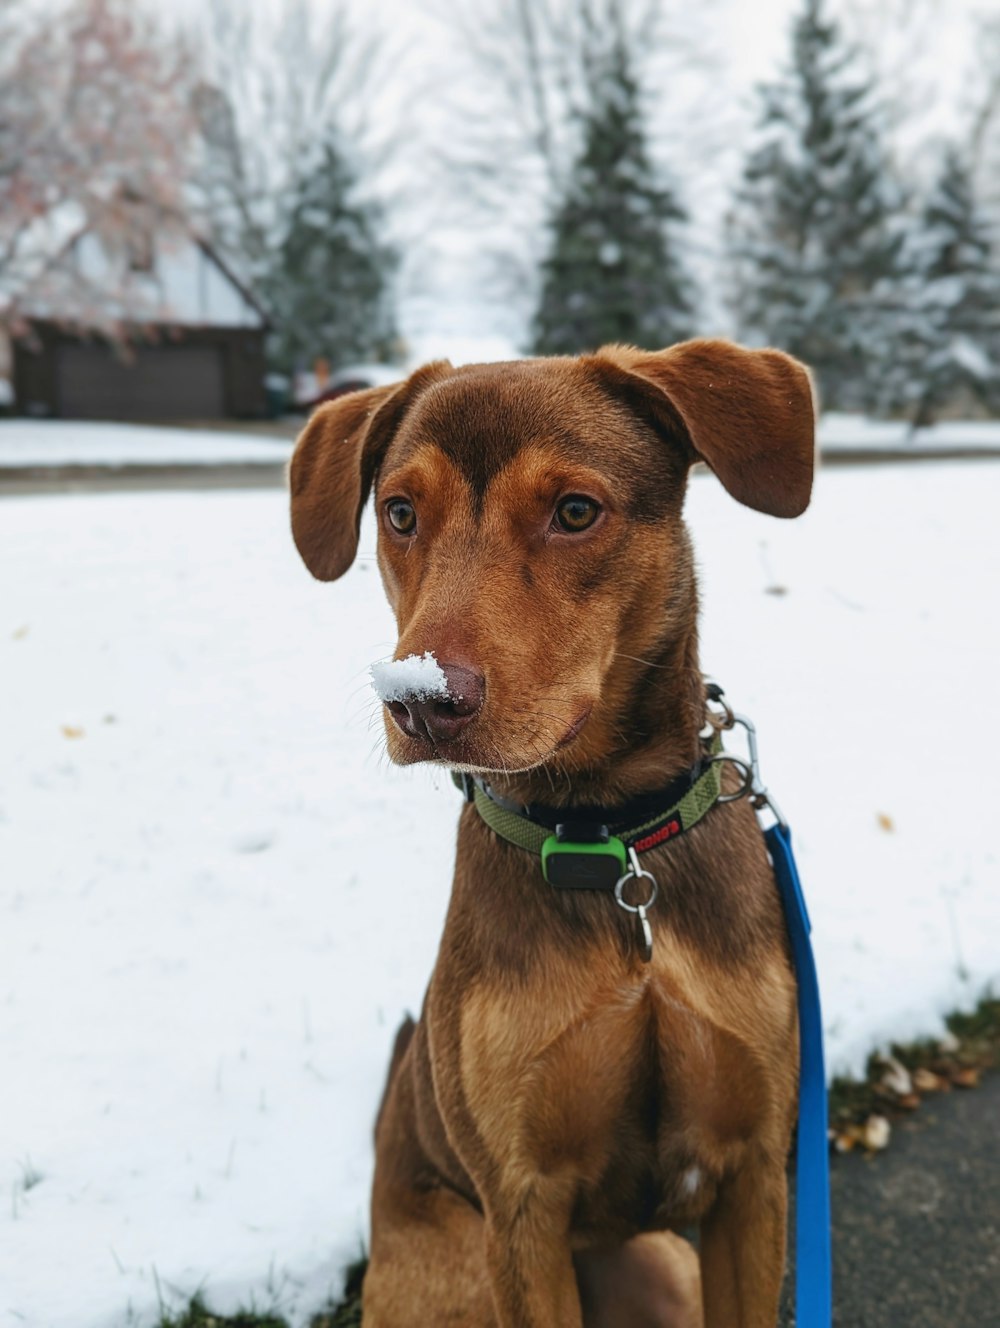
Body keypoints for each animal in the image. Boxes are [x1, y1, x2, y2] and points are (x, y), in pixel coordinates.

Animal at [286, 337, 812, 1322]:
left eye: (575, 511)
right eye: (400, 513)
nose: (420, 699)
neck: (607, 840)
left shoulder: (754, 1173)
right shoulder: (521, 1208)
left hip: (666, 1269)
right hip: (457, 1272)